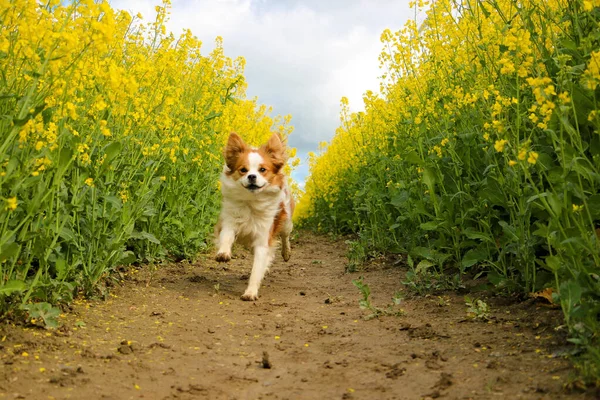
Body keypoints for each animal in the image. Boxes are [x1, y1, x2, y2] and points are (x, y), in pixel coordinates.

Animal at [214, 131, 294, 300]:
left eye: (262, 170)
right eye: (243, 170)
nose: (252, 176)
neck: (252, 201)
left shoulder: (263, 240)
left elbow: (257, 270)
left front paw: (250, 292)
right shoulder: (230, 221)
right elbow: (226, 237)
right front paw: (223, 253)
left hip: (286, 221)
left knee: (285, 236)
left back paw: (286, 252)